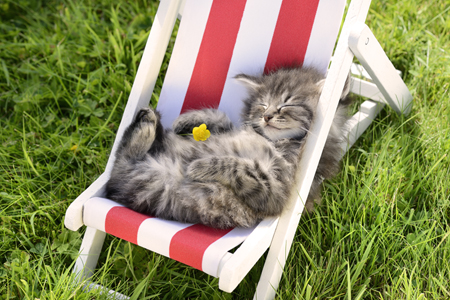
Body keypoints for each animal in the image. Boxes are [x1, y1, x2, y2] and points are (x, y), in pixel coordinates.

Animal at [106, 67, 352, 229]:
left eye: (287, 103)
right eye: (262, 104)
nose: (266, 116)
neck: (276, 142)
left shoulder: (276, 192)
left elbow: (238, 165)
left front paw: (200, 166)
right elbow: (222, 119)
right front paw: (186, 120)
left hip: (145, 182)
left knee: (122, 163)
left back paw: (147, 128)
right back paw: (149, 122)